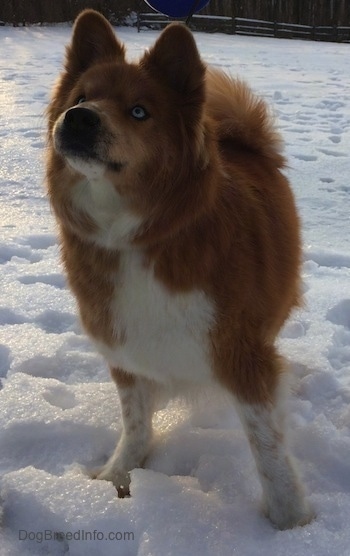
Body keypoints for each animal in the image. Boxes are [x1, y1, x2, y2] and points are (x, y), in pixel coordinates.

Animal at [45, 9, 312, 528]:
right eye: (81, 97)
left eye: (139, 112)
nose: (79, 118)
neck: (133, 237)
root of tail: (244, 140)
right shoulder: (123, 343)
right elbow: (134, 421)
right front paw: (119, 473)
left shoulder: (242, 351)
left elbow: (267, 447)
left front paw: (291, 522)